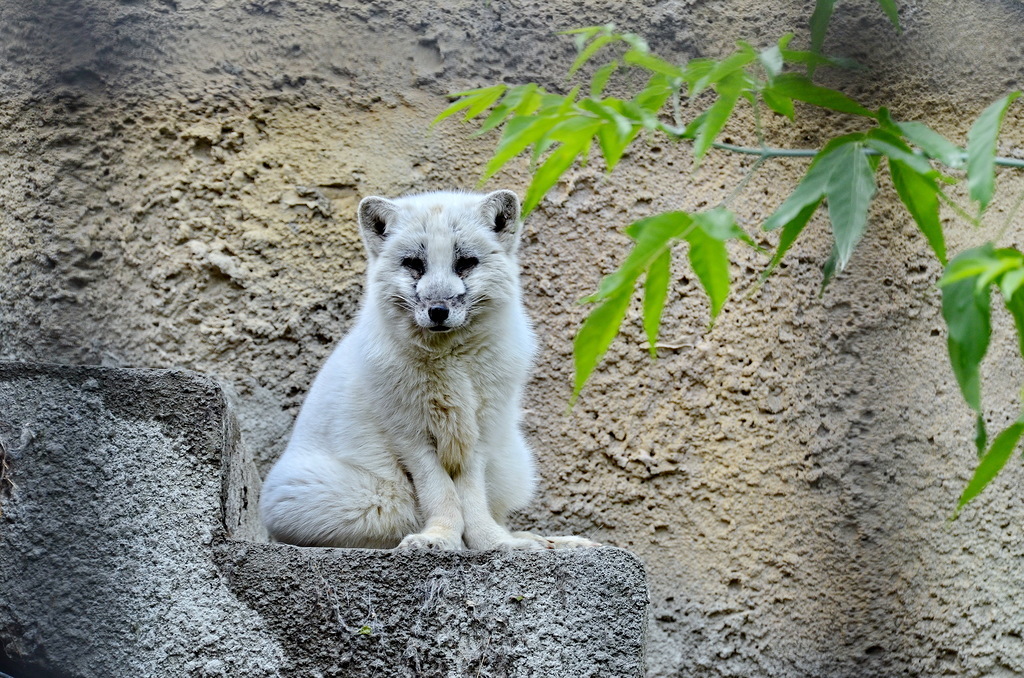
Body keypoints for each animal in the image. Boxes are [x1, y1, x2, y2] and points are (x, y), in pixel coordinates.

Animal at [260, 191, 598, 553]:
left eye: (465, 263)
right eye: (413, 263)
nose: (438, 310)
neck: (450, 362)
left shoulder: (479, 432)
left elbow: (473, 500)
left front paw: (491, 542)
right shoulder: (409, 434)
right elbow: (441, 493)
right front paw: (441, 536)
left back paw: (547, 541)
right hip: (363, 499)